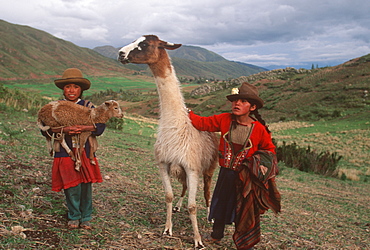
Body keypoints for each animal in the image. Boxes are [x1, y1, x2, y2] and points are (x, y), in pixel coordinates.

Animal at [118, 34, 220, 248]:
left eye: (144, 44)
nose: (121, 53)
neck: (176, 127)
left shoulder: (192, 167)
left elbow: (193, 206)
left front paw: (198, 241)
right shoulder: (165, 163)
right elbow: (169, 196)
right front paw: (167, 229)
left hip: (209, 167)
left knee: (207, 192)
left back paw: (210, 216)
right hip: (181, 171)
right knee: (184, 188)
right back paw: (178, 207)